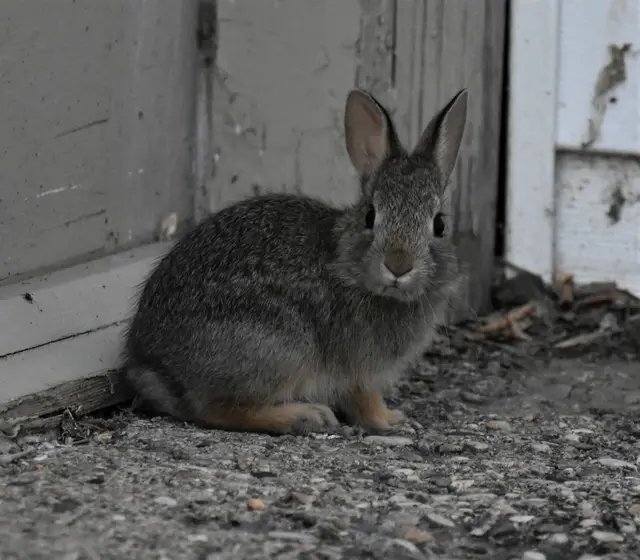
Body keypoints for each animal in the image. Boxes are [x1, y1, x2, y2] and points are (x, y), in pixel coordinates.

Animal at [123, 86, 468, 435]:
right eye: (370, 215)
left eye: (439, 225)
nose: (398, 266)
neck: (348, 266)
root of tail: (156, 368)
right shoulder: (360, 370)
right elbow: (366, 401)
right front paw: (392, 421)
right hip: (280, 347)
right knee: (219, 409)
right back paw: (305, 415)